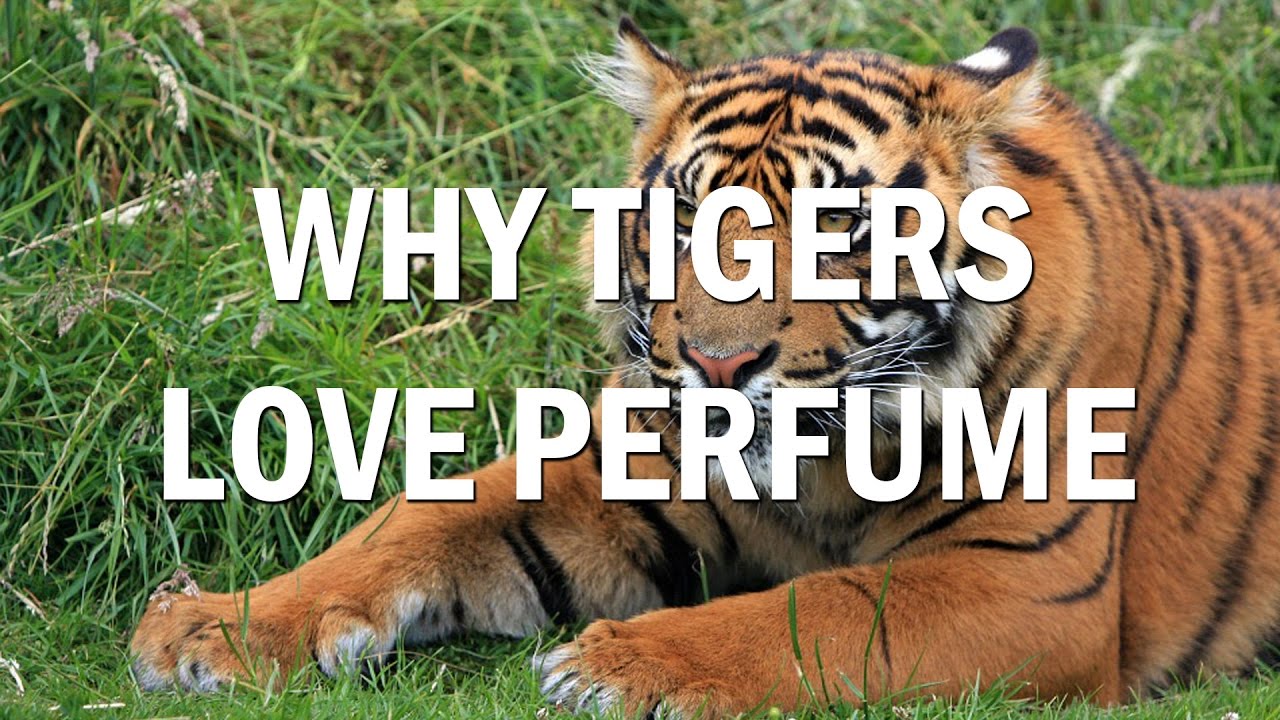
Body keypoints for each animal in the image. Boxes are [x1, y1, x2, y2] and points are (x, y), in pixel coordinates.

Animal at [129, 19, 1280, 716]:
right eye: (685, 218)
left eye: (837, 229)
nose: (721, 364)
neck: (824, 466)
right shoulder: (615, 469)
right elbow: (411, 524)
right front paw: (211, 627)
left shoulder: (1025, 581)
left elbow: (823, 610)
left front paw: (619, 663)